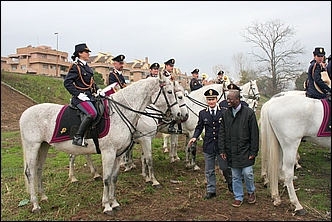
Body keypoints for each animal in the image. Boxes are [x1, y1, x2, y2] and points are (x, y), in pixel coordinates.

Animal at [19, 74, 180, 215]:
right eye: (170, 92)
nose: (179, 115)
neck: (121, 112)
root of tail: (25, 113)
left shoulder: (119, 153)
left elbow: (114, 177)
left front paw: (114, 203)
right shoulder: (109, 152)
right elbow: (107, 178)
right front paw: (107, 206)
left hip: (43, 146)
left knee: (39, 170)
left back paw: (43, 197)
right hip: (32, 146)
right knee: (30, 172)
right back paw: (35, 205)